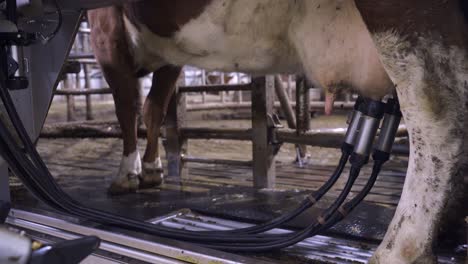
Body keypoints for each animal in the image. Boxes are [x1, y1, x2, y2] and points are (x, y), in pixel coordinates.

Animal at [88, 1, 468, 262]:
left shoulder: (105, 26)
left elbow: (126, 107)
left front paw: (128, 174)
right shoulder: (169, 56)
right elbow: (153, 108)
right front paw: (151, 170)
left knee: (435, 111)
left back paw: (400, 249)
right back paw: (446, 227)